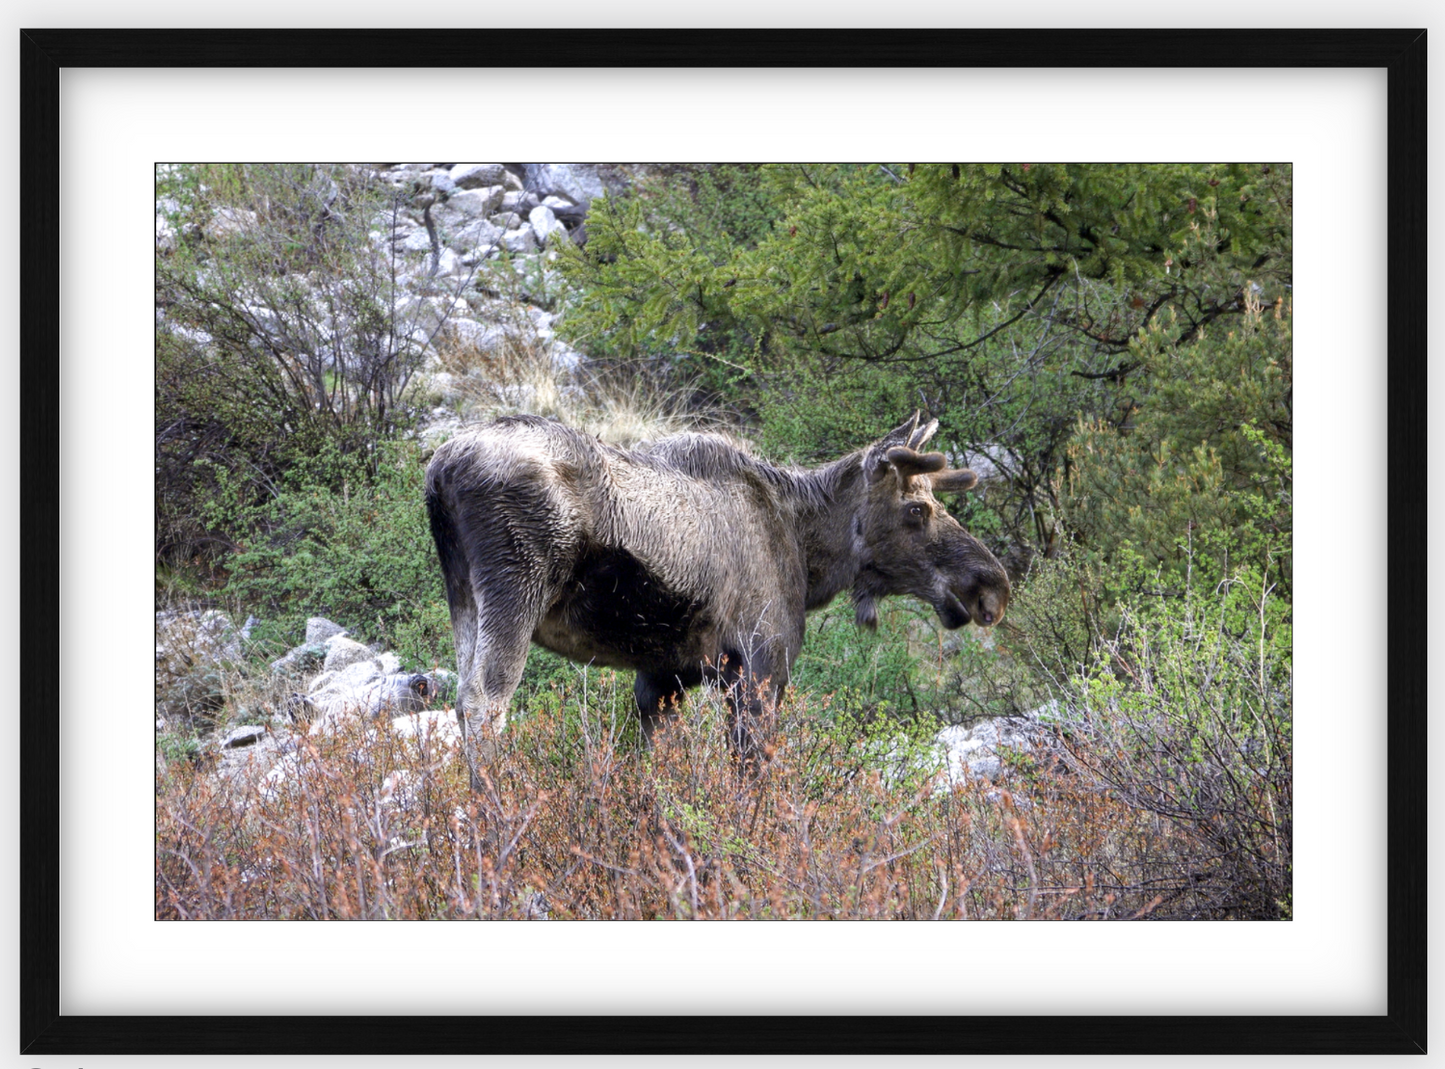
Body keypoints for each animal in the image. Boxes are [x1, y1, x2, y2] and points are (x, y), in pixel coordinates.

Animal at [421, 410, 1011, 785]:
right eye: (917, 509)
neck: (807, 552)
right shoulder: (761, 664)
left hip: (463, 596)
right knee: (484, 702)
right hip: (515, 588)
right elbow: (752, 782)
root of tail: (438, 472)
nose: (991, 586)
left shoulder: (663, 676)